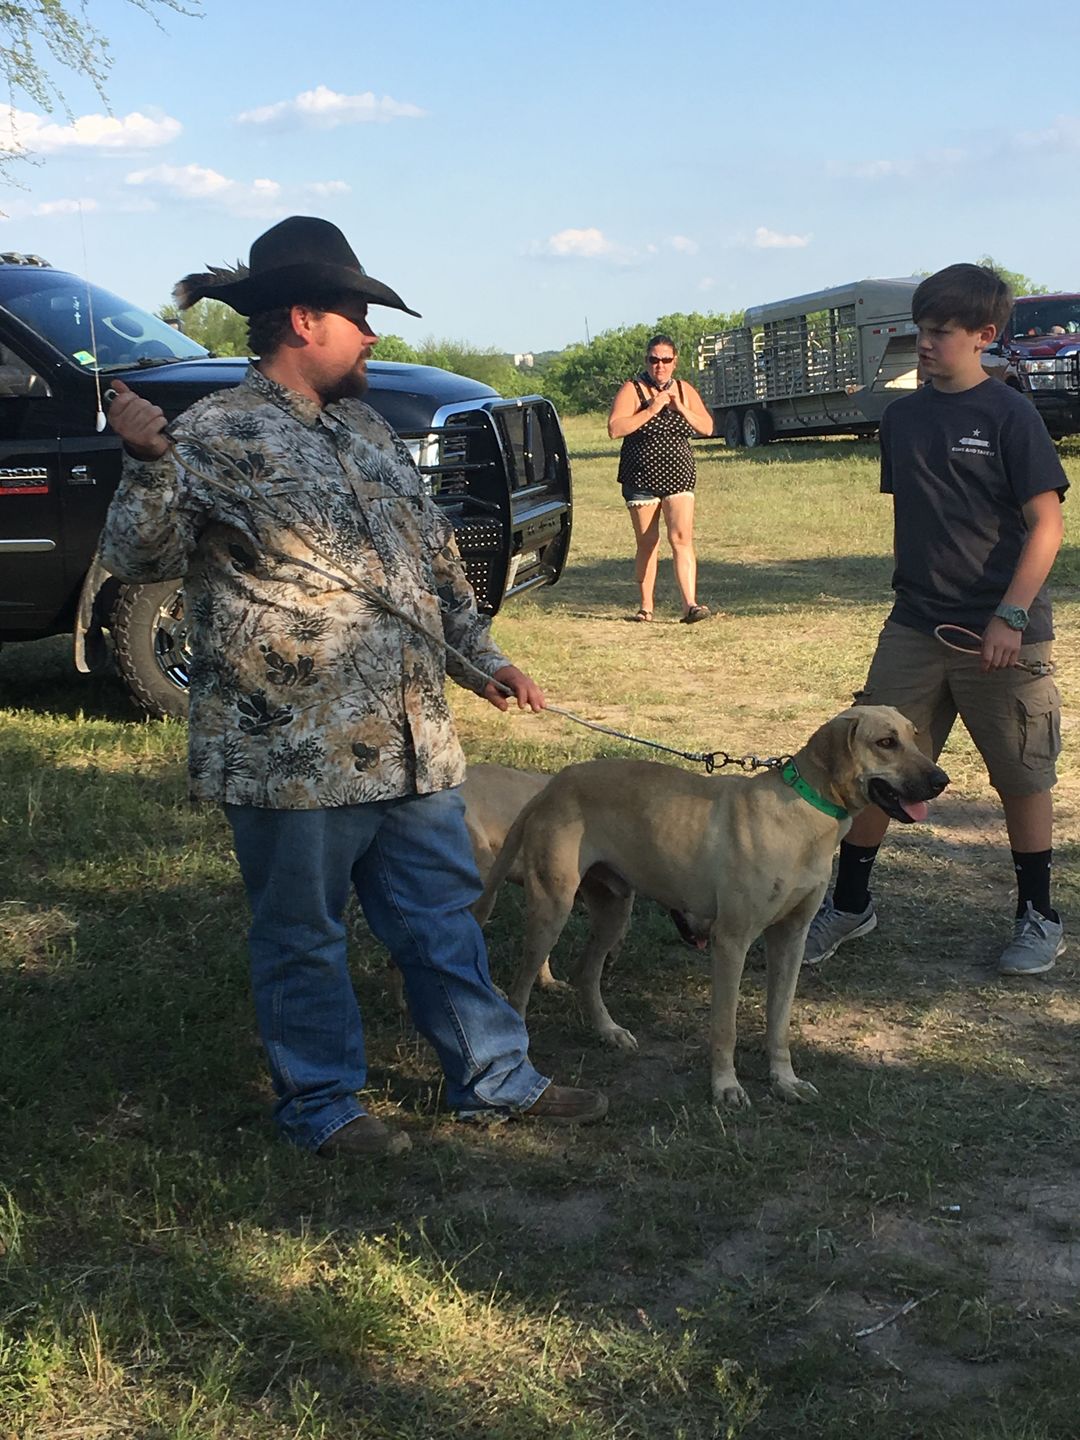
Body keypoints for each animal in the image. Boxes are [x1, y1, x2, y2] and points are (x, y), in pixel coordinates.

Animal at [473, 707, 949, 1105]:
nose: (941, 781)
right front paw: (726, 1087)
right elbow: (726, 1027)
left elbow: (779, 1023)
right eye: (885, 742)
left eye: (914, 736)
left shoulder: (791, 940)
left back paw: (609, 1032)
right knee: (520, 990)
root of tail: (554, 783)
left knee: (585, 973)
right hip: (551, 909)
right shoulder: (732, 942)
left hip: (614, 910)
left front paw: (785, 1081)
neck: (804, 814)